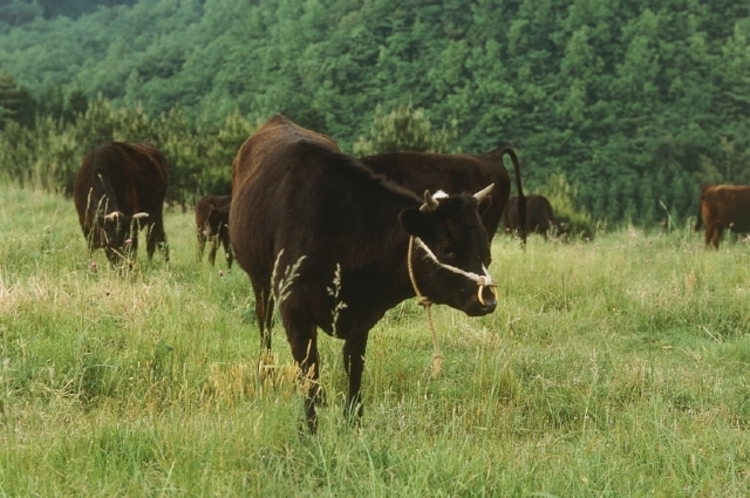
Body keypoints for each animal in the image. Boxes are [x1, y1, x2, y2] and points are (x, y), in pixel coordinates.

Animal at [229, 115, 500, 432]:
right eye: (446, 248)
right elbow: (308, 368)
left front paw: (353, 421)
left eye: (485, 248)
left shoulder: (362, 316)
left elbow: (353, 365)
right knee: (265, 327)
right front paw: (309, 428)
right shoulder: (294, 310)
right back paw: (268, 375)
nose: (488, 300)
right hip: (260, 282)